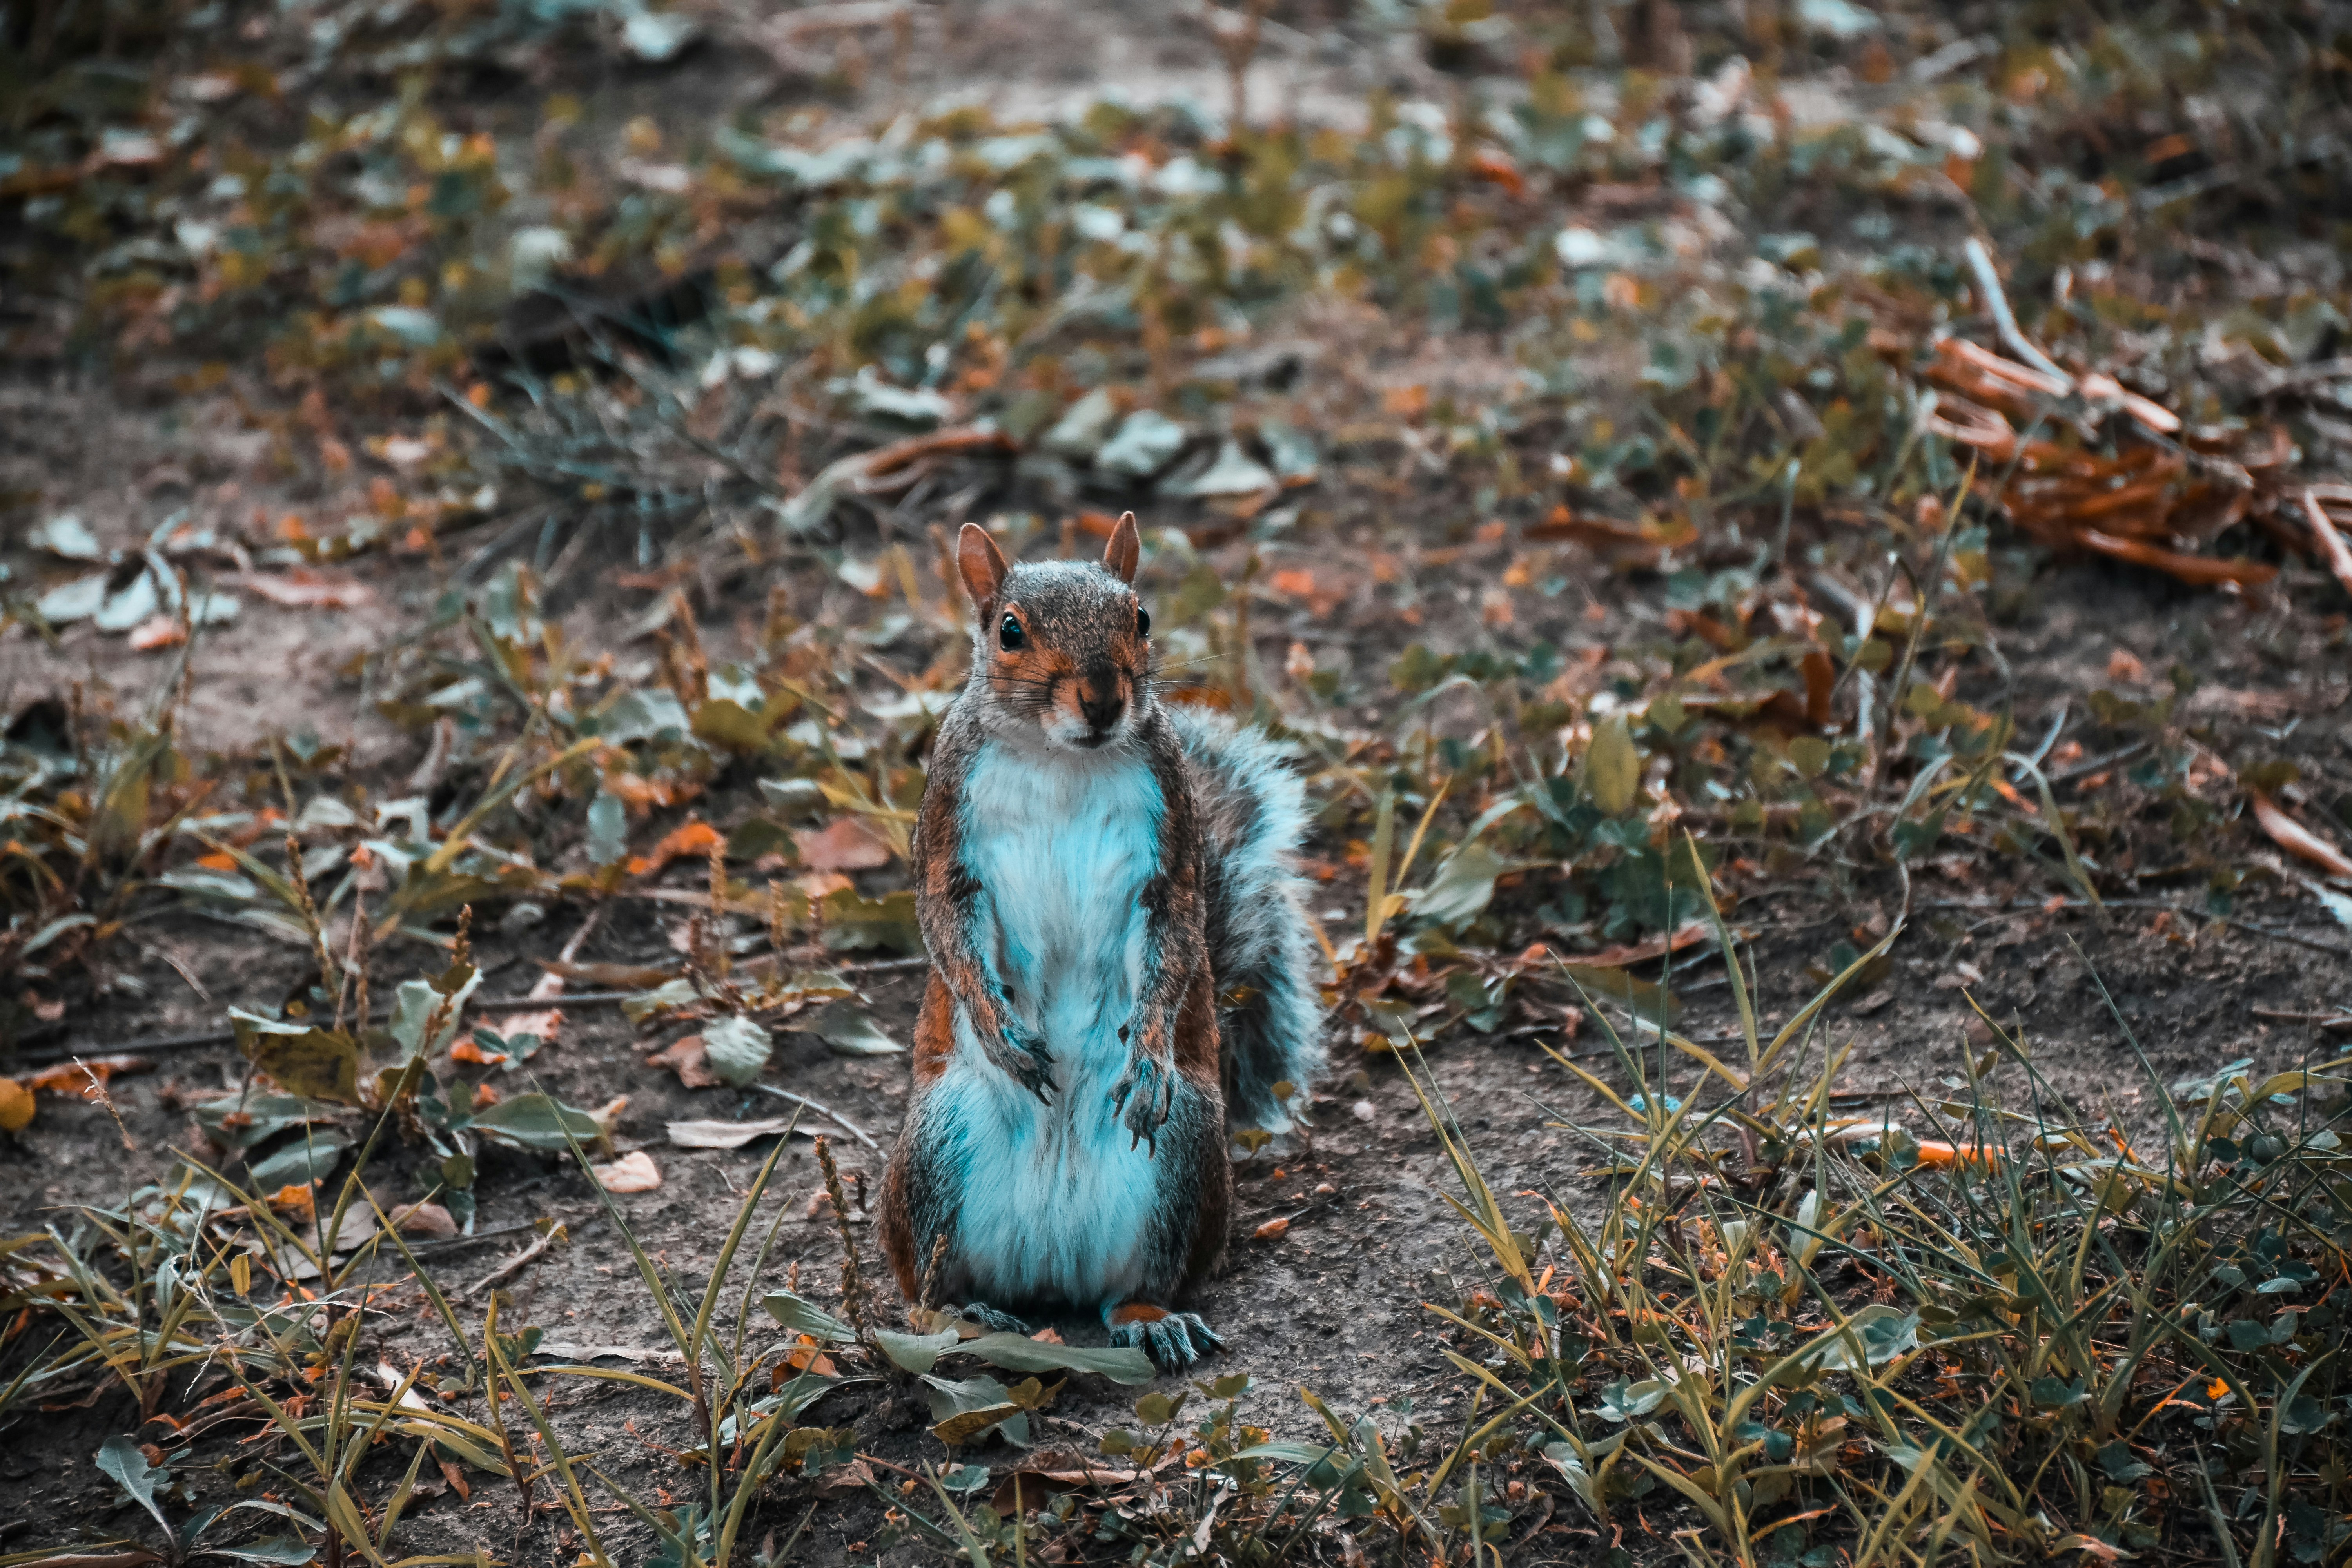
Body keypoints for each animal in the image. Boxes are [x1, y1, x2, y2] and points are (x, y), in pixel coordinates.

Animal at [878, 512, 1323, 1372]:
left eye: (1140, 617)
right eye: (1009, 631)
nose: (1103, 697)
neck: (1060, 756)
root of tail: (1051, 1277)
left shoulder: (1170, 851)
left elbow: (1173, 944)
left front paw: (1146, 1049)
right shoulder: (947, 828)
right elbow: (948, 928)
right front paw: (999, 1029)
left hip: (1184, 1152)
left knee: (1137, 1283)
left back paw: (1150, 1318)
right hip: (934, 1150)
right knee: (927, 1290)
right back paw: (963, 1312)